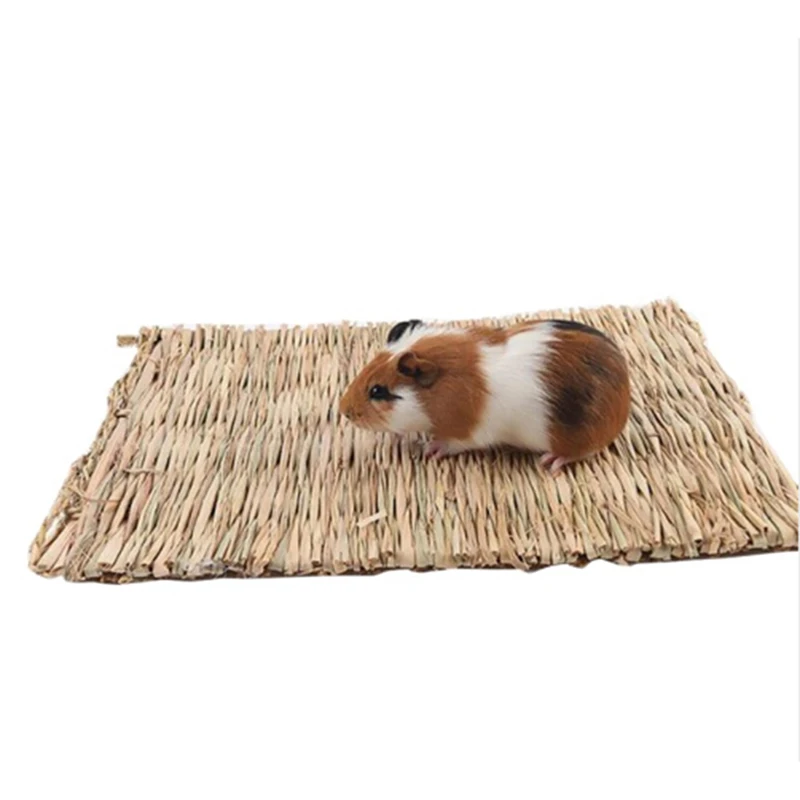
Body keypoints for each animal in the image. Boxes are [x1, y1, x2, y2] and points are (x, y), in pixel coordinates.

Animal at [338, 318, 631, 473]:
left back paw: (549, 462)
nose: (344, 410)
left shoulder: (468, 433)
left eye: (377, 391)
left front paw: (429, 449)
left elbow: (449, 442)